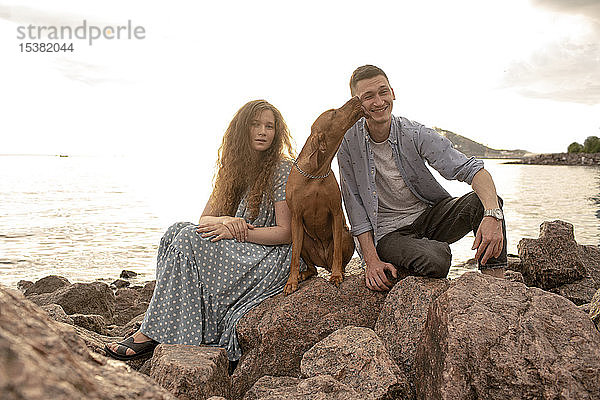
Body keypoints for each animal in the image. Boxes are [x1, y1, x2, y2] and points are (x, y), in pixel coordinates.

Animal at [284, 96, 364, 294]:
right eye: (334, 113)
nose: (356, 98)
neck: (315, 173)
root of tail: (324, 263)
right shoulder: (296, 217)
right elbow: (294, 257)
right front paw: (291, 282)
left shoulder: (335, 213)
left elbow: (337, 252)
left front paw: (336, 276)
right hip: (305, 241)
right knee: (312, 269)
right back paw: (303, 274)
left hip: (346, 234)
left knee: (338, 258)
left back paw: (339, 271)